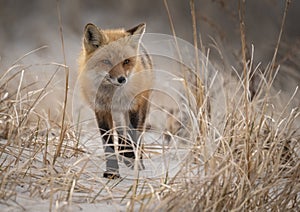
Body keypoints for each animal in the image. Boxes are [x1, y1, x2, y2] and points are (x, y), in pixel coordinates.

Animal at [78, 22, 152, 179]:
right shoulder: (101, 110)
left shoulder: (134, 108)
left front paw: (133, 160)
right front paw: (112, 171)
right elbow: (109, 144)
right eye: (106, 61)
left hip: (142, 107)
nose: (121, 79)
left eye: (126, 61)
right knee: (121, 134)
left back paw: (136, 159)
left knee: (138, 135)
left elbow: (133, 136)